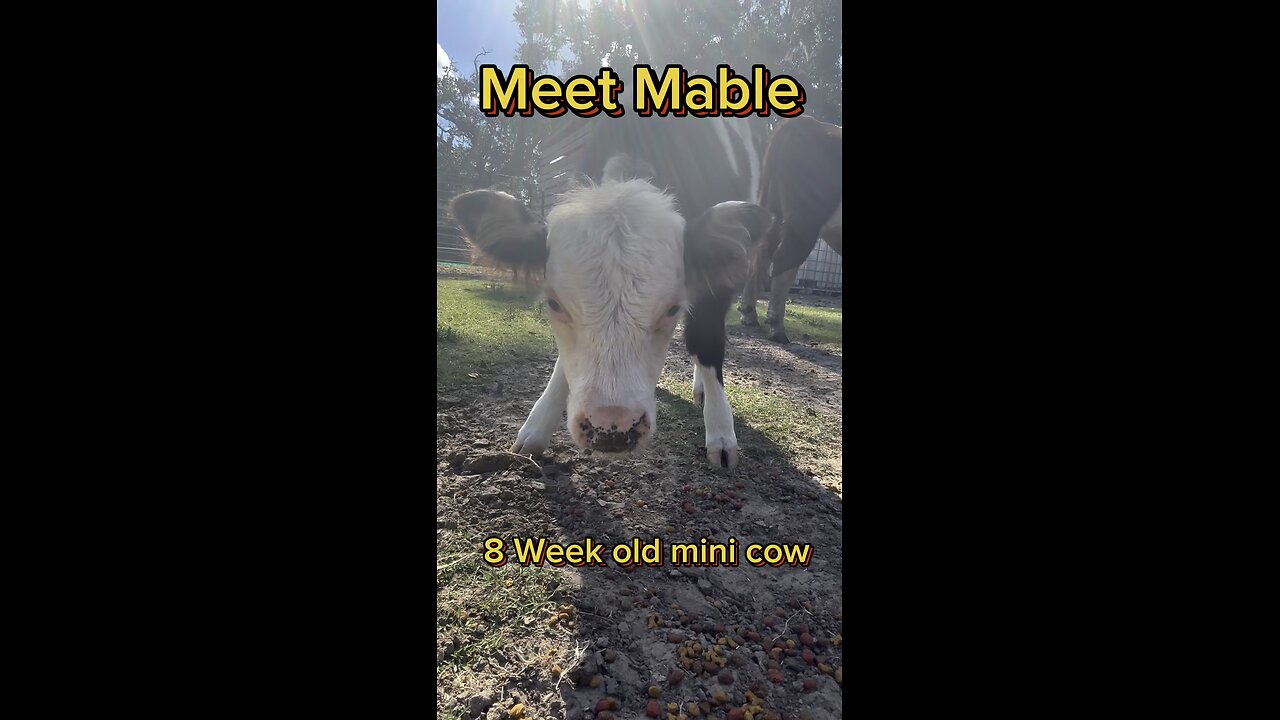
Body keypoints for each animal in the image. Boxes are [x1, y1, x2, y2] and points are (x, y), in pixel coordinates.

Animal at [448, 114, 770, 469]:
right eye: (554, 303)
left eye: (672, 308)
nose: (611, 425)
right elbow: (564, 363)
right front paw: (537, 426)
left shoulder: (715, 285)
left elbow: (707, 342)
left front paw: (721, 433)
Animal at [737, 116, 843, 344]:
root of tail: (805, 122)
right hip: (805, 220)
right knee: (784, 260)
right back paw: (776, 327)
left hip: (774, 209)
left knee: (762, 253)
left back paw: (749, 313)